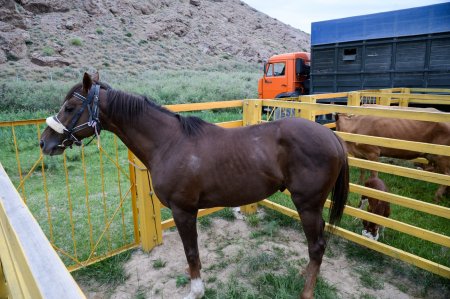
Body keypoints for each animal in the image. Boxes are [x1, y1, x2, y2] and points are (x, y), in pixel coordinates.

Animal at [40, 73, 350, 299]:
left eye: (69, 108)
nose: (45, 142)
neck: (169, 143)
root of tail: (331, 137)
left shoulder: (183, 211)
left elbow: (191, 252)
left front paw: (196, 290)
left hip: (307, 205)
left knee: (317, 246)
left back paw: (306, 291)